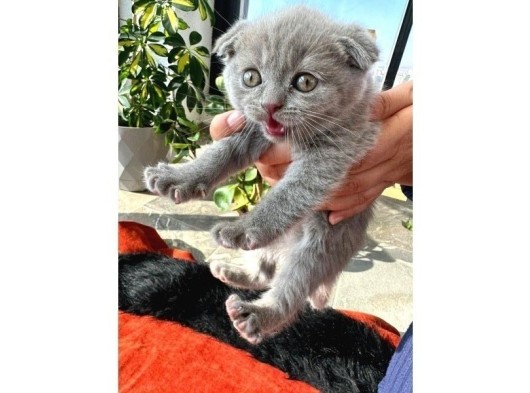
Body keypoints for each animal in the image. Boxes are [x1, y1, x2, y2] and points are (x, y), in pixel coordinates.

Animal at [142, 6, 378, 344]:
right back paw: (231, 272)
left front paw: (245, 227)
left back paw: (256, 315)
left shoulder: (338, 148)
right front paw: (178, 176)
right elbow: (220, 152)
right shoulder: (251, 130)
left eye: (305, 82)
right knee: (264, 272)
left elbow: (291, 192)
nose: (270, 105)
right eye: (251, 77)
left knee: (292, 285)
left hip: (324, 242)